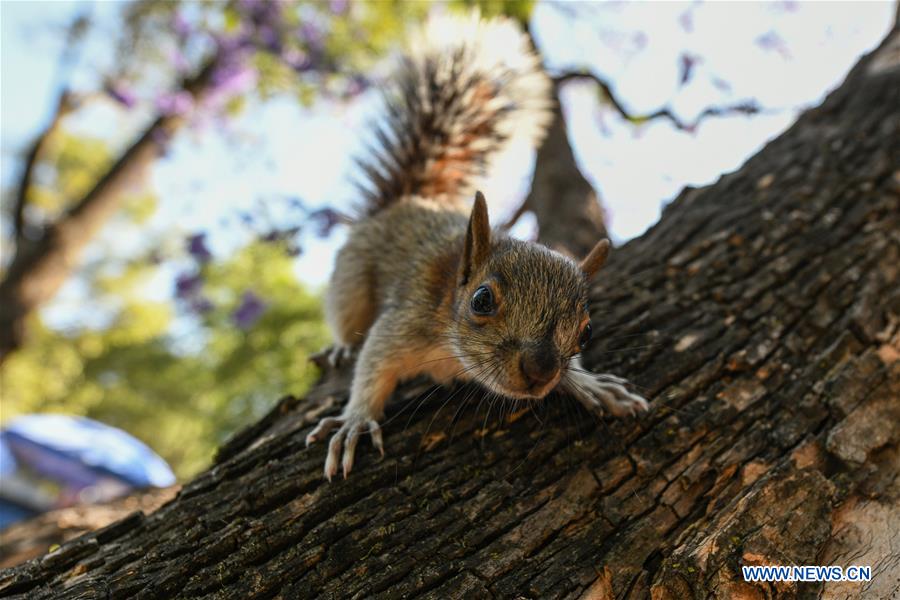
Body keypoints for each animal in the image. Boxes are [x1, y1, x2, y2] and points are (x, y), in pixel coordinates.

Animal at [308, 14, 648, 480]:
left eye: (587, 331)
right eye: (481, 300)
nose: (541, 372)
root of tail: (407, 201)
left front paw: (588, 382)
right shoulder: (404, 322)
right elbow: (373, 366)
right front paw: (355, 420)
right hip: (351, 281)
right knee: (347, 318)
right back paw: (341, 345)